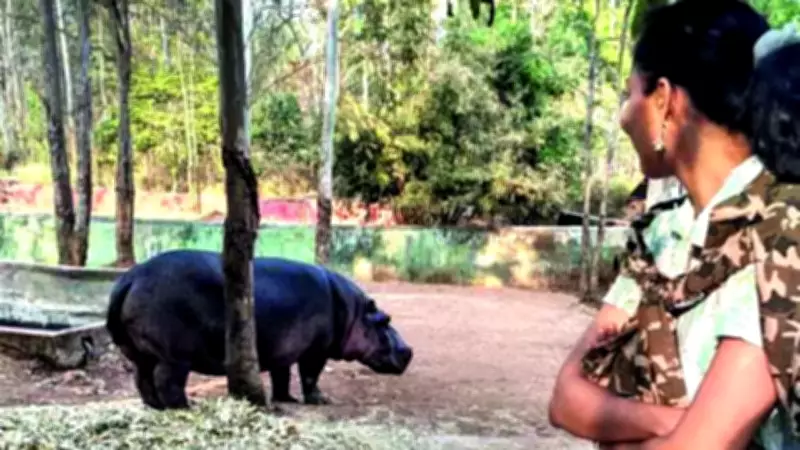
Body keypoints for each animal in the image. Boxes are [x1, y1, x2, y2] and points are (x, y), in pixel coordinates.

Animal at [105, 249, 413, 410]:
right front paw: (321, 400)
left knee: (142, 378)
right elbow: (310, 376)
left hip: (139, 352)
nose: (409, 350)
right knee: (166, 380)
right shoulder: (316, 351)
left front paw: (286, 399)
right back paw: (186, 407)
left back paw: (154, 406)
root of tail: (131, 277)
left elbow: (282, 376)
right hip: (175, 356)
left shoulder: (284, 349)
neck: (353, 312)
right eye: (385, 320)